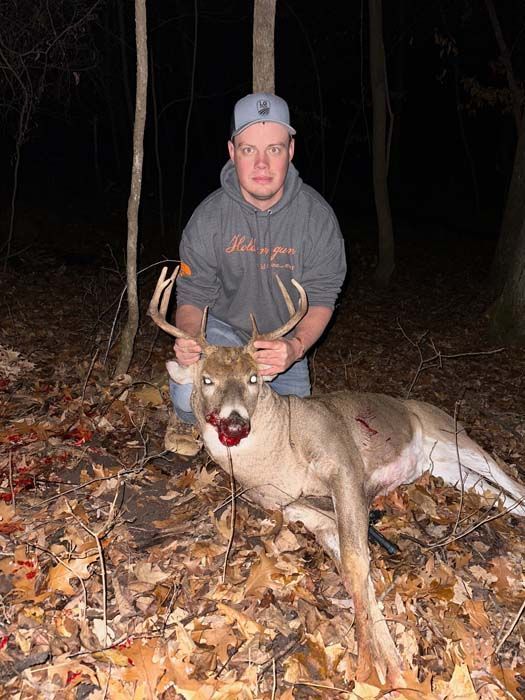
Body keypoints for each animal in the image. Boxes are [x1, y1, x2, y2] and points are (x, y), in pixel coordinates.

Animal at [149, 266, 525, 685]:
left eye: (253, 379)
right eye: (207, 380)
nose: (234, 421)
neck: (280, 456)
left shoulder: (344, 466)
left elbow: (358, 562)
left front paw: (380, 669)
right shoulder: (294, 508)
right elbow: (352, 570)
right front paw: (387, 664)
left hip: (455, 435)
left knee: (512, 480)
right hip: (446, 468)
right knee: (498, 496)